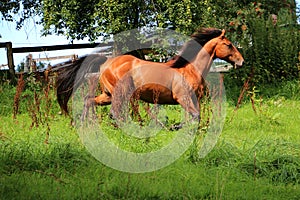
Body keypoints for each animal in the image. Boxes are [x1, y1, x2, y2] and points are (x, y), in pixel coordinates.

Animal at [56, 27, 244, 123]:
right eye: (228, 45)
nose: (241, 61)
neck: (190, 69)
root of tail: (107, 62)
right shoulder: (182, 97)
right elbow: (195, 116)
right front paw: (174, 127)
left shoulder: (194, 98)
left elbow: (196, 116)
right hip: (121, 92)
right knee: (115, 113)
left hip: (107, 94)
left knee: (89, 101)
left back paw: (83, 122)